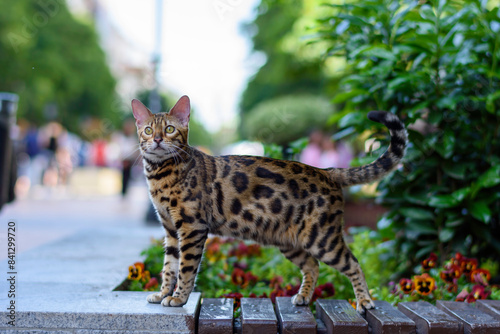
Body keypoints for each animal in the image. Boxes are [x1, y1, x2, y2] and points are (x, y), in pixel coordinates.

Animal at [132, 95, 406, 312]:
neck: (159, 174)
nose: (157, 139)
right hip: (291, 241)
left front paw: (179, 298)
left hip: (322, 238)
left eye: (169, 129)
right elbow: (169, 266)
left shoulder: (192, 227)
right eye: (148, 130)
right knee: (312, 265)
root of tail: (327, 171)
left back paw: (365, 301)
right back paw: (304, 297)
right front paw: (163, 293)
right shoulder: (170, 229)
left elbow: (186, 268)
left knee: (354, 263)